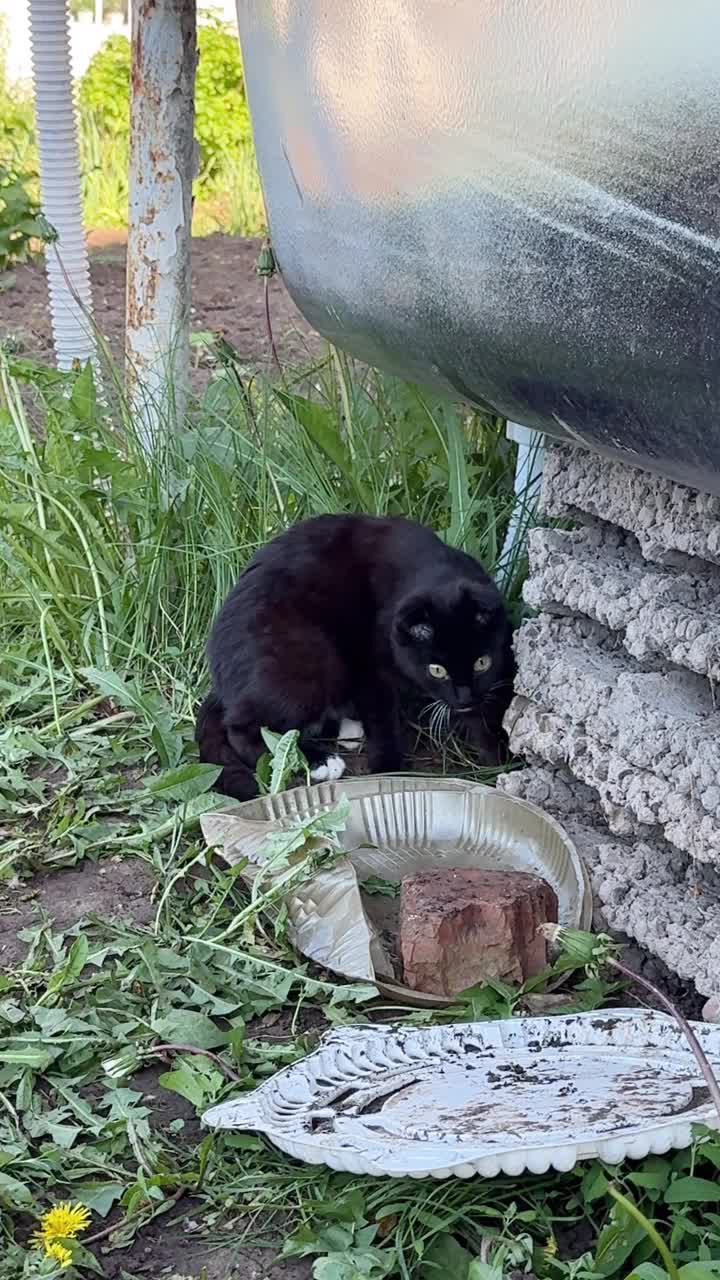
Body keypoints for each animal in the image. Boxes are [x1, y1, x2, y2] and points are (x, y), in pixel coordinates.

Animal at [193, 512, 512, 793]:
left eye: (482, 663)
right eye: (437, 670)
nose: (465, 697)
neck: (433, 567)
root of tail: (221, 681)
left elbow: (488, 712)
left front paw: (500, 758)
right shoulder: (369, 662)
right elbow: (382, 719)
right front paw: (389, 771)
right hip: (311, 656)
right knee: (242, 728)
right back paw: (321, 760)